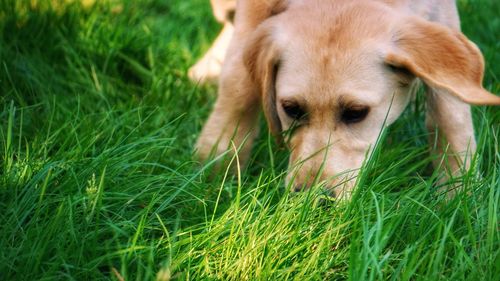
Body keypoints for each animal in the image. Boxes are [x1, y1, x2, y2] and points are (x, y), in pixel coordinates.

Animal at [193, 0, 500, 198]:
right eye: (290, 109)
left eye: (356, 112)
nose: (310, 200)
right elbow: (238, 82)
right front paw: (214, 164)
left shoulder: (441, 12)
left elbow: (450, 110)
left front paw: (459, 190)